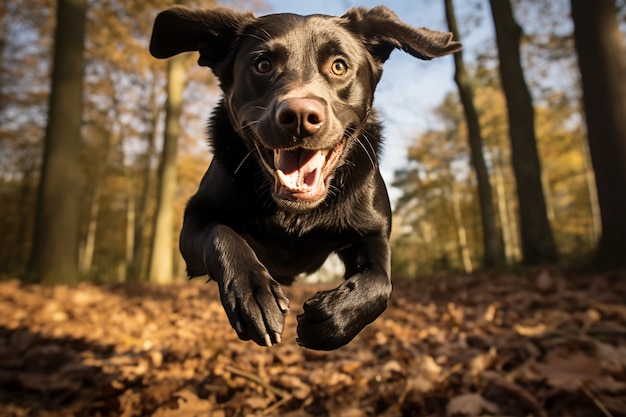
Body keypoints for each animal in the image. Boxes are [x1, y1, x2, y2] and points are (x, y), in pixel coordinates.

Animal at [147, 7, 458, 352]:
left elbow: (380, 281)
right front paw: (253, 294)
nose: (299, 117)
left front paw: (332, 319)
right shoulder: (195, 218)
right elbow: (222, 233)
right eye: (263, 64)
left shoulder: (373, 232)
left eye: (339, 66)